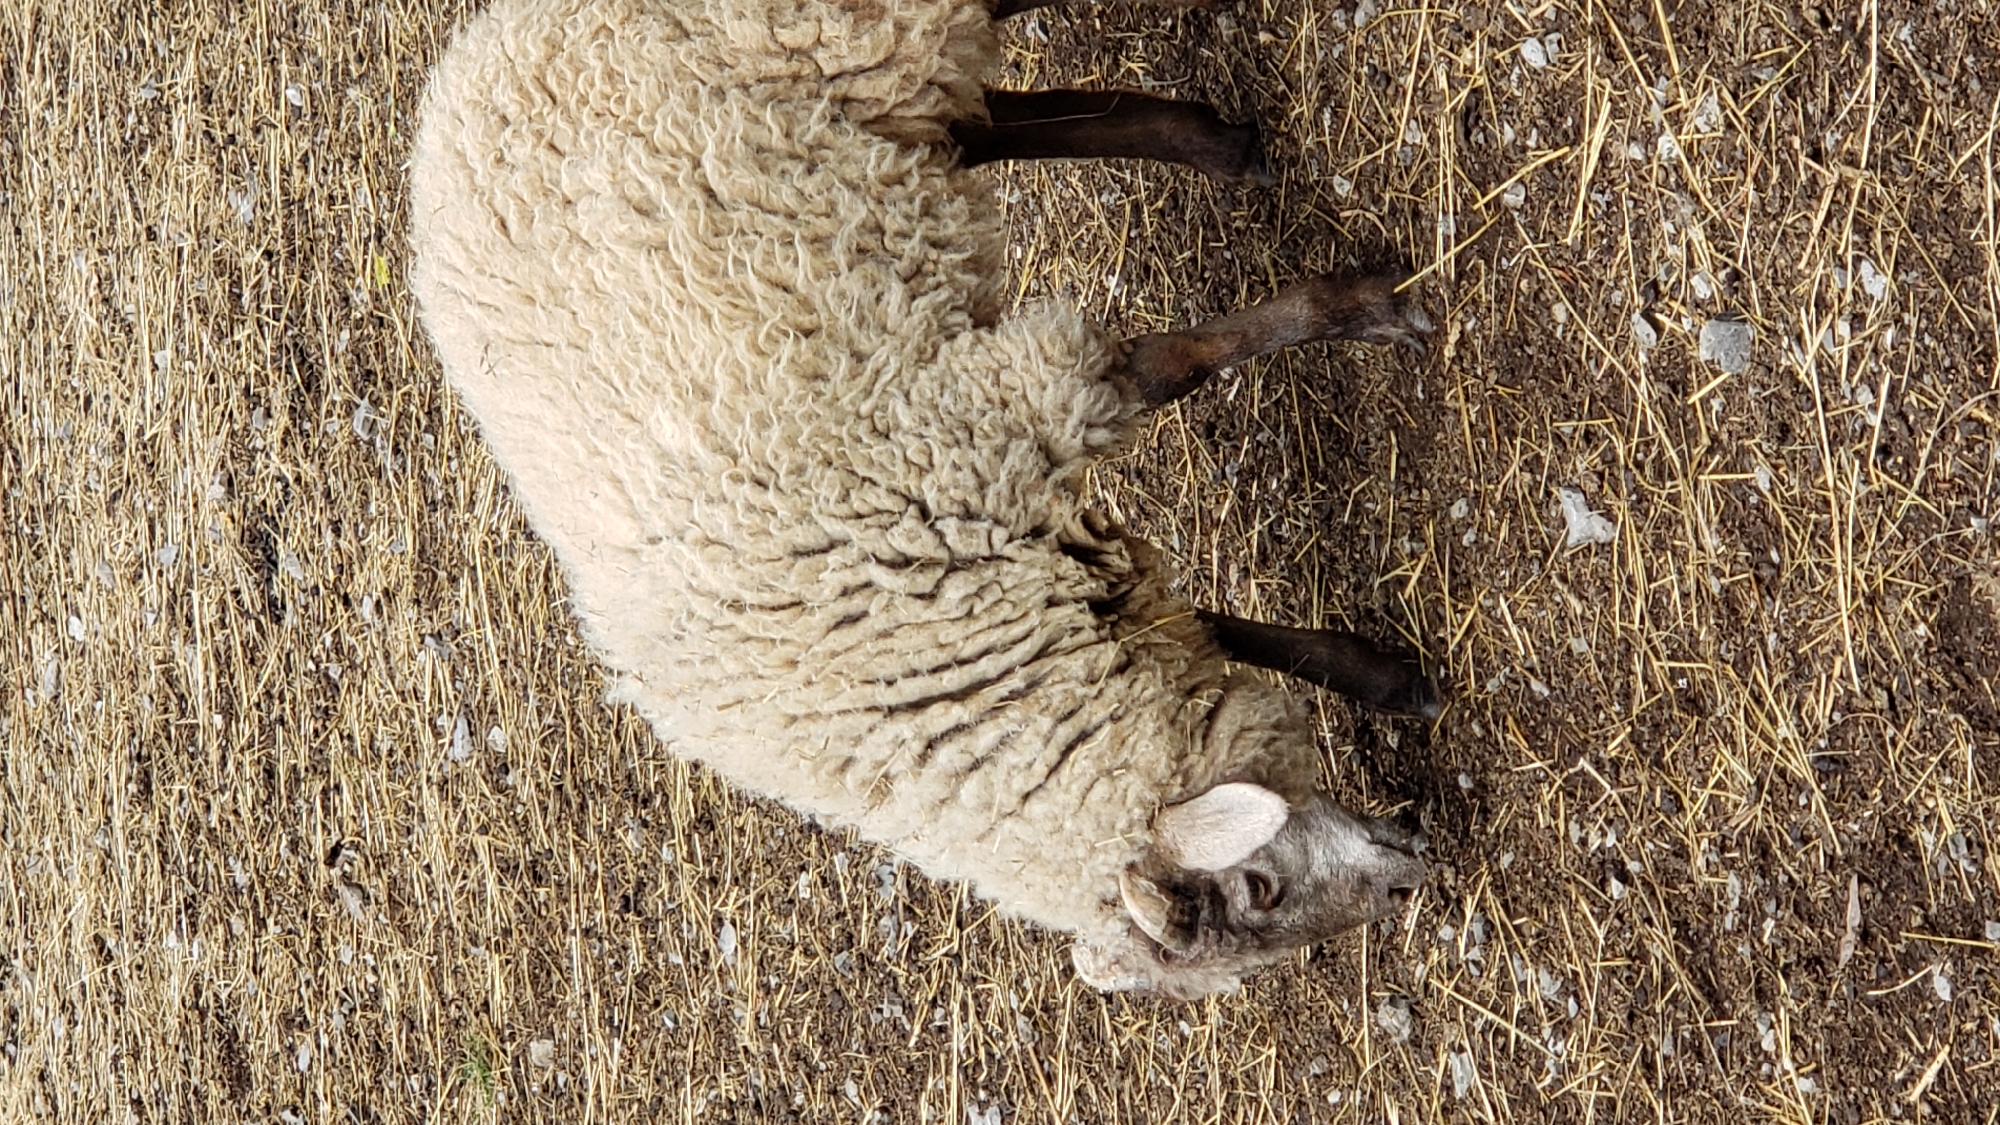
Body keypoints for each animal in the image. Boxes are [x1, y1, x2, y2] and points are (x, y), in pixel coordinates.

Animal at [409, 0, 1436, 998]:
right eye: (1259, 894)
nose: (1408, 875)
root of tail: (468, 57)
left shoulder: (1009, 409)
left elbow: (1184, 365)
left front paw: (1370, 306)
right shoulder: (1029, 530)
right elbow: (1210, 623)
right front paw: (1384, 677)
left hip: (835, 27)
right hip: (882, 94)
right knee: (984, 124)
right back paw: (1215, 144)